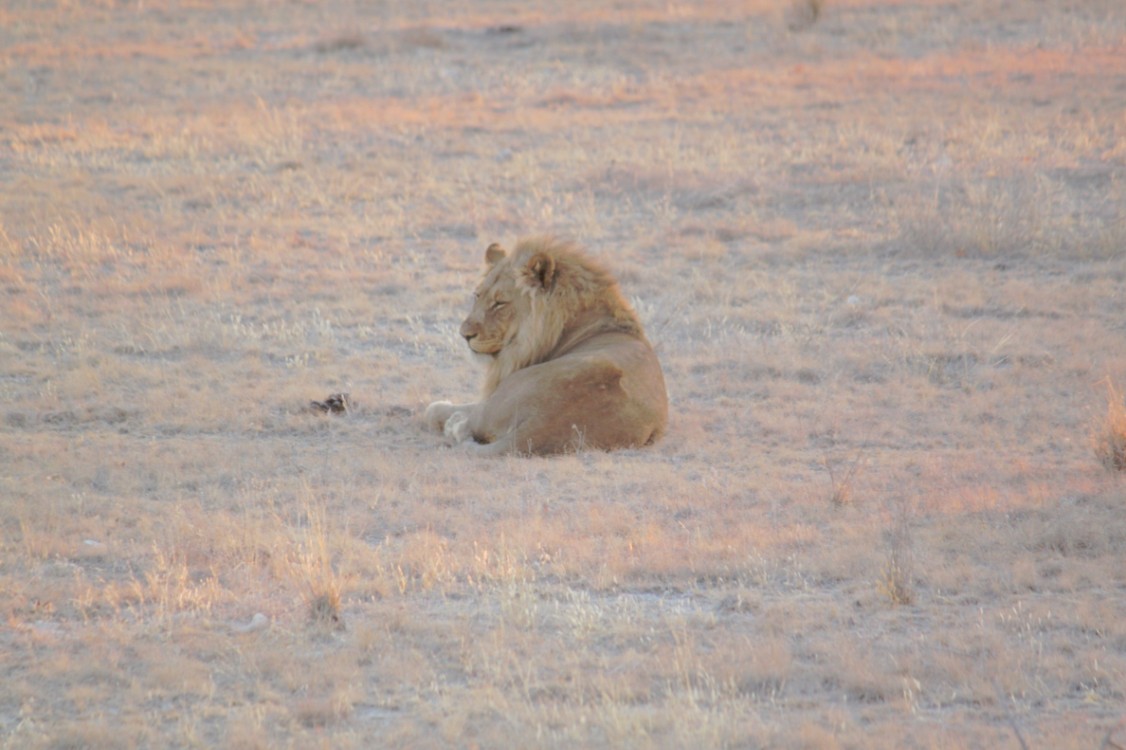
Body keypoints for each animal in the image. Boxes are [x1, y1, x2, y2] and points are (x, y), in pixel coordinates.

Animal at [423, 236, 666, 452]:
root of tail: (538, 426)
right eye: (477, 295)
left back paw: (454, 423)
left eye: (500, 303)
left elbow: (440, 409)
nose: (464, 335)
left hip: (499, 398)